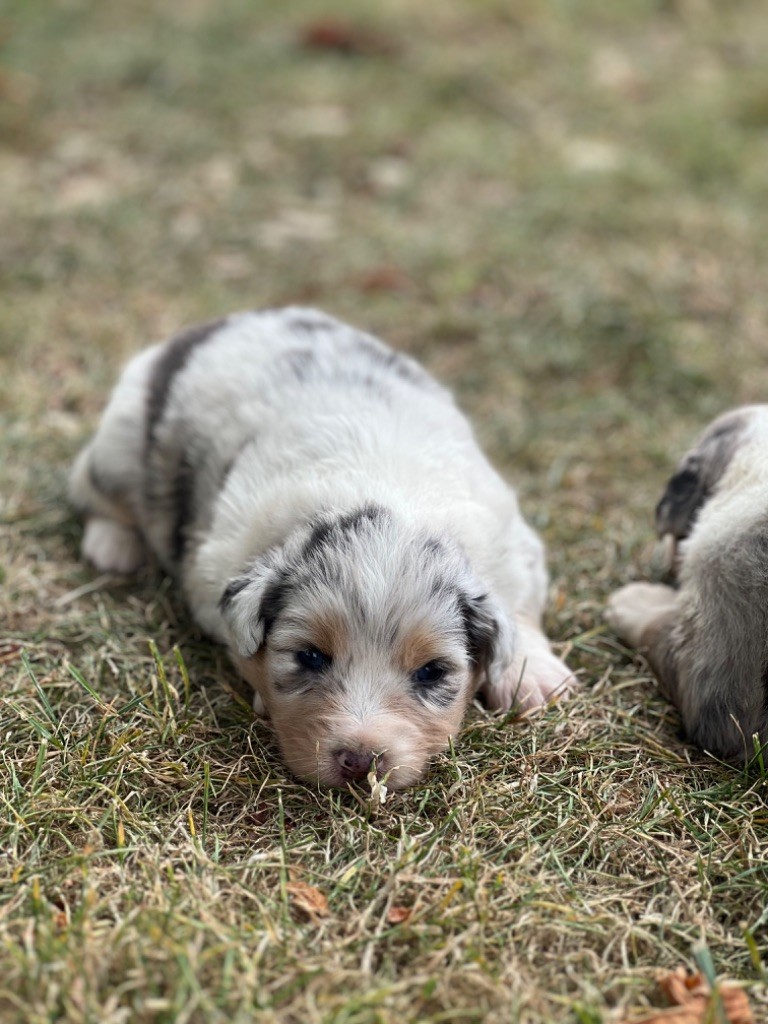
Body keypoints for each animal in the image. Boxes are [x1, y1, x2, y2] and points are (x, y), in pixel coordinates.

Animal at [72, 307, 573, 786]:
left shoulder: (513, 545)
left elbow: (520, 611)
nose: (360, 761)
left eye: (432, 671)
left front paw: (535, 678)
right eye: (310, 656)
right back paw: (114, 545)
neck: (387, 494)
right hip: (117, 447)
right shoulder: (214, 563)